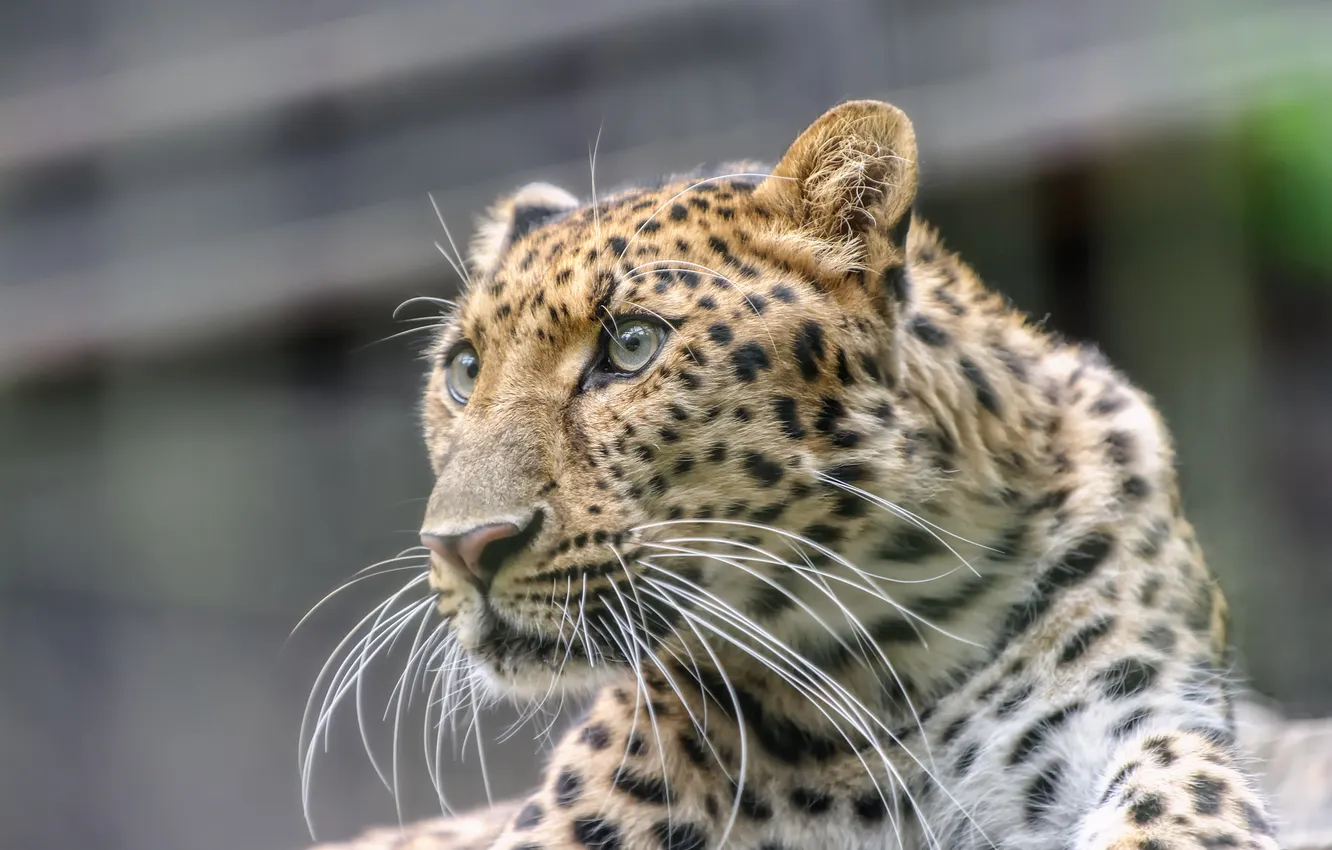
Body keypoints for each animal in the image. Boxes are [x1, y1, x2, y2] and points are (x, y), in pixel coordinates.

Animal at [306, 101, 1282, 850]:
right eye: (464, 370)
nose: (464, 547)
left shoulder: (1137, 711)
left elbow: (1186, 787)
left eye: (631, 346)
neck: (892, 653)